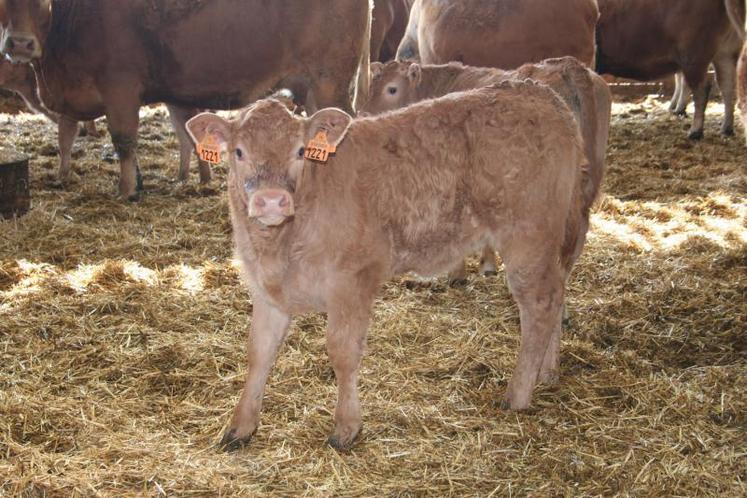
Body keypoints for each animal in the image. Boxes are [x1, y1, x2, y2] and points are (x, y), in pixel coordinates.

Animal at [187, 80, 600, 452]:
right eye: (238, 151)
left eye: (301, 150)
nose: (272, 200)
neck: (281, 242)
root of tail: (537, 91)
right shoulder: (266, 288)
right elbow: (258, 353)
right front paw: (239, 428)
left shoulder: (353, 279)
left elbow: (342, 352)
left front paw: (346, 429)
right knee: (557, 292)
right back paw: (548, 372)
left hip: (528, 237)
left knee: (540, 305)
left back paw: (518, 394)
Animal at [364, 57, 612, 284]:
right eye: (371, 85)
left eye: (392, 89)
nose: (363, 114)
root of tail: (568, 66)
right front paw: (488, 266)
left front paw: (457, 274)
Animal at [600, 0, 740, 139]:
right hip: (725, 53)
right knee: (727, 87)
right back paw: (726, 129)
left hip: (694, 55)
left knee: (702, 90)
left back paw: (695, 131)